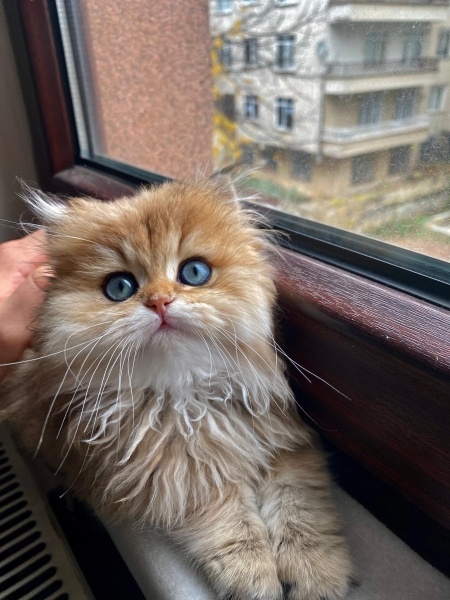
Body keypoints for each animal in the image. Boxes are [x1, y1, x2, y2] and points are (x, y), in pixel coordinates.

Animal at [0, 178, 352, 600]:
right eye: (120, 287)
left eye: (194, 272)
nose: (160, 302)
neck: (185, 395)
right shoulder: (175, 477)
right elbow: (230, 524)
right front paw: (254, 577)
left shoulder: (284, 445)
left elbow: (301, 512)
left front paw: (315, 573)